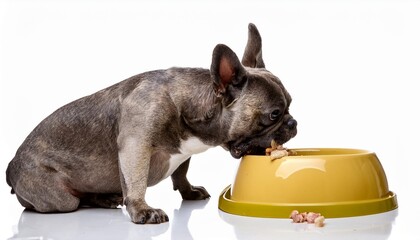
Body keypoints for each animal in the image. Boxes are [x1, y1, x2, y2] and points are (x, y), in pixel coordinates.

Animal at [4, 23, 296, 224]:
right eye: (274, 114)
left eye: (291, 103)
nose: (293, 122)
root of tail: (11, 167)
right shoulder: (135, 146)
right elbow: (135, 181)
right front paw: (142, 209)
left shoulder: (184, 152)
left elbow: (181, 171)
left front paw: (188, 190)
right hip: (57, 197)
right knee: (64, 202)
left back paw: (105, 198)